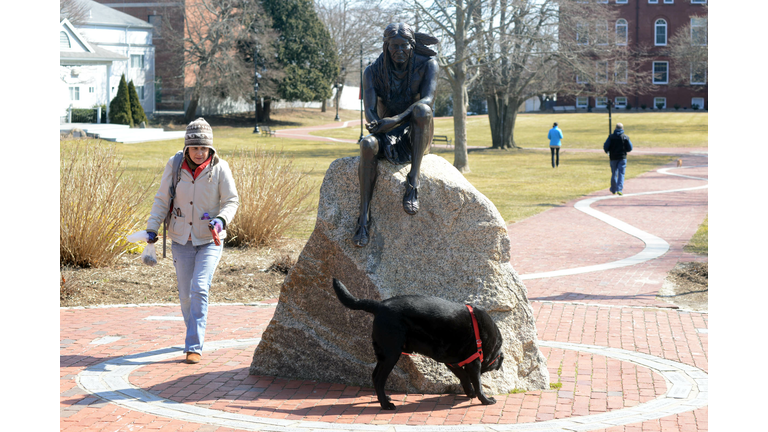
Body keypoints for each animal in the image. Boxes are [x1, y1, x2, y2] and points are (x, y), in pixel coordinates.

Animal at [332, 278, 504, 410]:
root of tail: (379, 306)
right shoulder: (473, 362)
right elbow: (477, 382)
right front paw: (485, 400)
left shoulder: (451, 360)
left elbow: (464, 377)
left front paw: (470, 392)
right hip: (392, 353)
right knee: (379, 378)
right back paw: (386, 405)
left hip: (384, 354)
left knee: (375, 376)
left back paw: (384, 399)